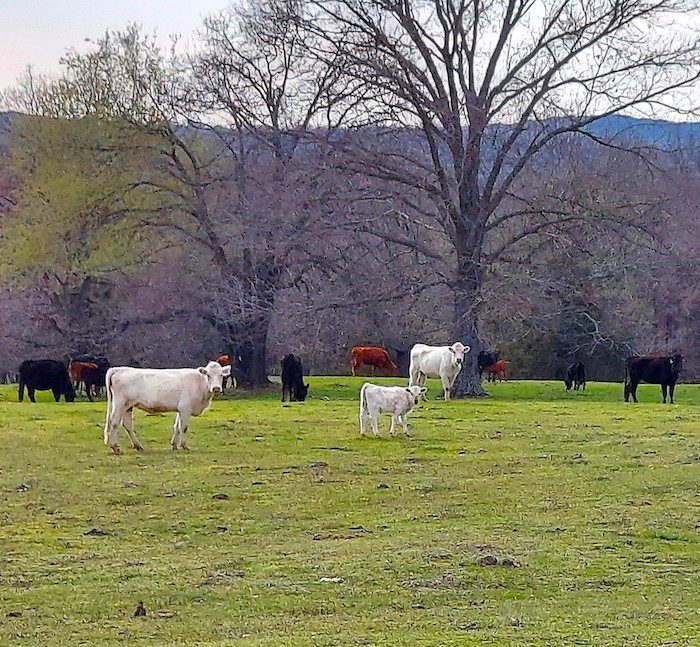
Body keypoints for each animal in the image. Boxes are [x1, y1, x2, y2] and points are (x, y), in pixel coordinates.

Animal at [102, 360, 231, 456]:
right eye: (208, 375)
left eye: (221, 375)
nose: (216, 388)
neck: (199, 383)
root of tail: (119, 369)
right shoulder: (185, 408)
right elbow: (183, 427)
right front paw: (184, 446)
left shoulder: (180, 409)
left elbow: (177, 427)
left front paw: (174, 445)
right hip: (119, 403)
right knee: (114, 423)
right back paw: (116, 448)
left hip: (127, 406)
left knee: (127, 425)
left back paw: (138, 446)